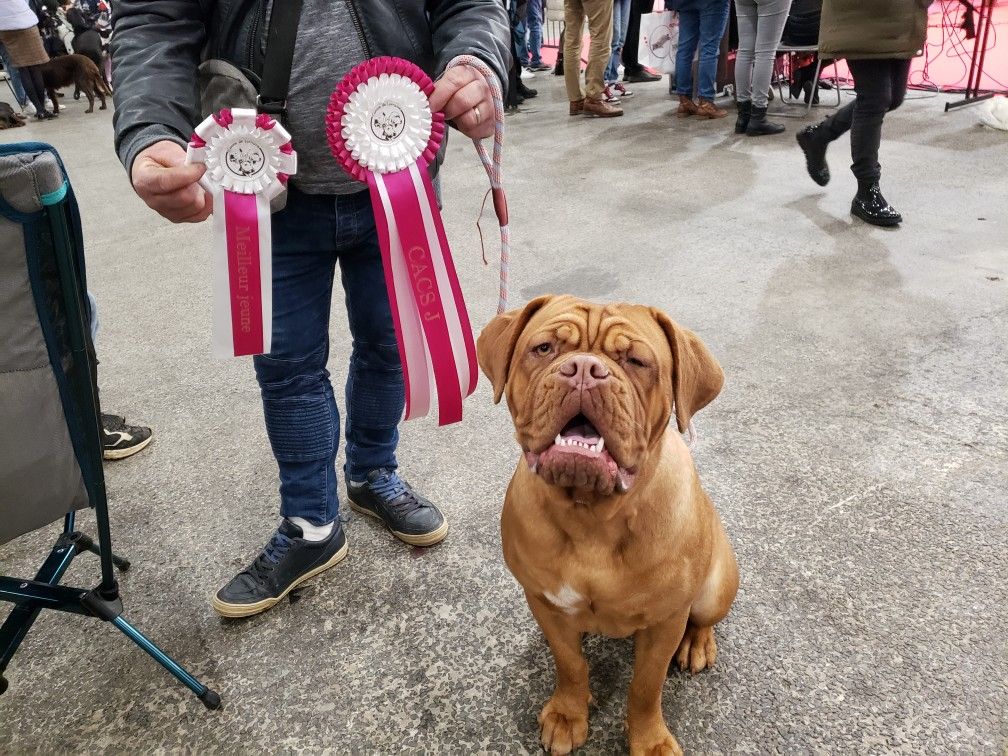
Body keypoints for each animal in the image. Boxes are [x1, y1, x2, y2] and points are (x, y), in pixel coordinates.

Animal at [479, 296, 741, 756]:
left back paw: (697, 643)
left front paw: (650, 741)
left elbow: (645, 687)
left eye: (636, 361)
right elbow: (570, 664)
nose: (584, 368)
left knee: (704, 617)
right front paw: (568, 713)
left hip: (714, 587)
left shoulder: (665, 622)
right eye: (544, 348)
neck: (592, 515)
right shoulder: (545, 602)